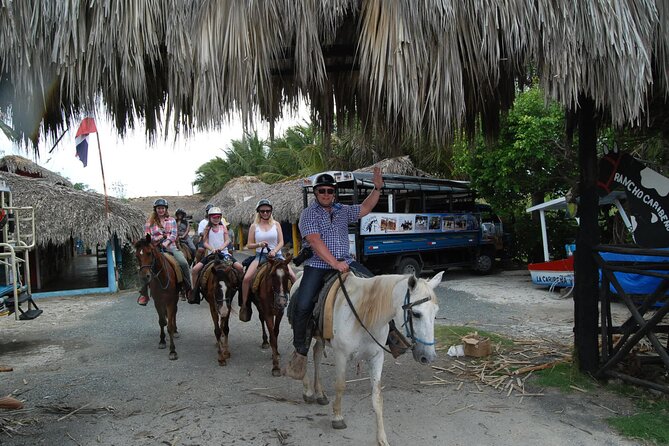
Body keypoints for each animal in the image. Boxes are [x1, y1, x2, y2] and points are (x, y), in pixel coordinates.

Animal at [292, 270, 444, 444]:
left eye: (435, 313)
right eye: (416, 314)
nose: (428, 357)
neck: (363, 313)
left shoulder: (377, 357)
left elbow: (377, 397)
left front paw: (382, 439)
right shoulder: (341, 355)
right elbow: (340, 386)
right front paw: (338, 417)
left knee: (317, 352)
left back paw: (320, 393)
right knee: (300, 352)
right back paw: (308, 391)